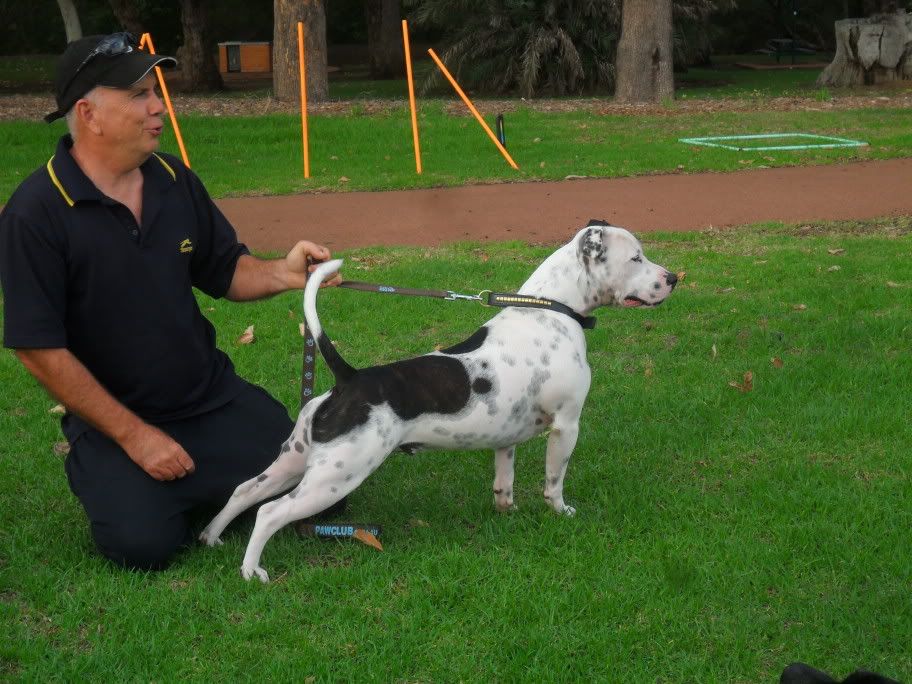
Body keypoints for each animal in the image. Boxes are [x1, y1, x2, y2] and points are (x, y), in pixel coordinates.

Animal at [201, 220, 676, 584]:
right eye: (636, 258)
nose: (673, 278)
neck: (551, 307)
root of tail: (348, 379)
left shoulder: (507, 437)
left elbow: (504, 481)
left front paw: (506, 511)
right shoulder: (566, 426)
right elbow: (554, 482)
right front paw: (562, 513)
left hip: (294, 461)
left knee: (245, 490)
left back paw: (212, 537)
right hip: (335, 478)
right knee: (269, 512)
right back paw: (252, 571)